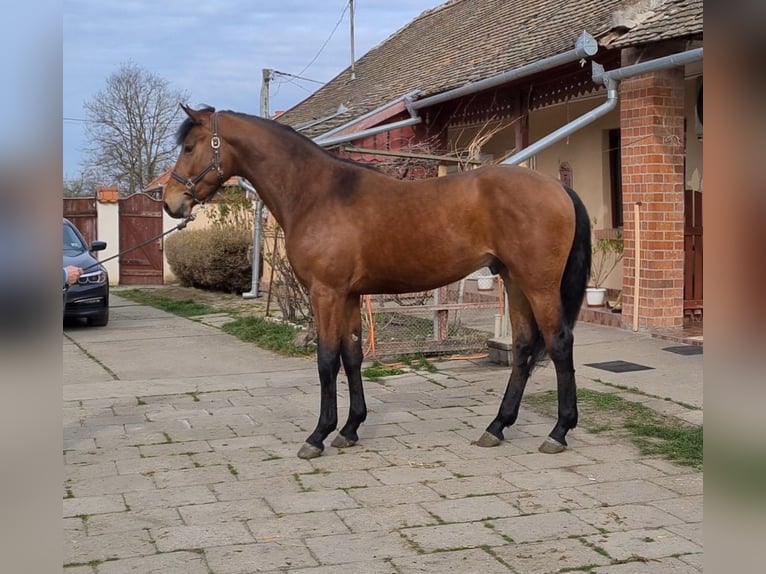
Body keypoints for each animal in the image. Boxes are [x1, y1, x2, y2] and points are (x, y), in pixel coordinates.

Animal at [164, 104, 592, 464]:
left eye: (188, 146)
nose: (170, 201)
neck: (317, 193)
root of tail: (558, 188)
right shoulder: (350, 295)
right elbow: (352, 356)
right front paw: (350, 429)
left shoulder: (326, 293)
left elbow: (326, 359)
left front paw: (318, 436)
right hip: (515, 283)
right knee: (523, 347)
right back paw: (497, 427)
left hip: (538, 286)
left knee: (559, 344)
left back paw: (558, 432)